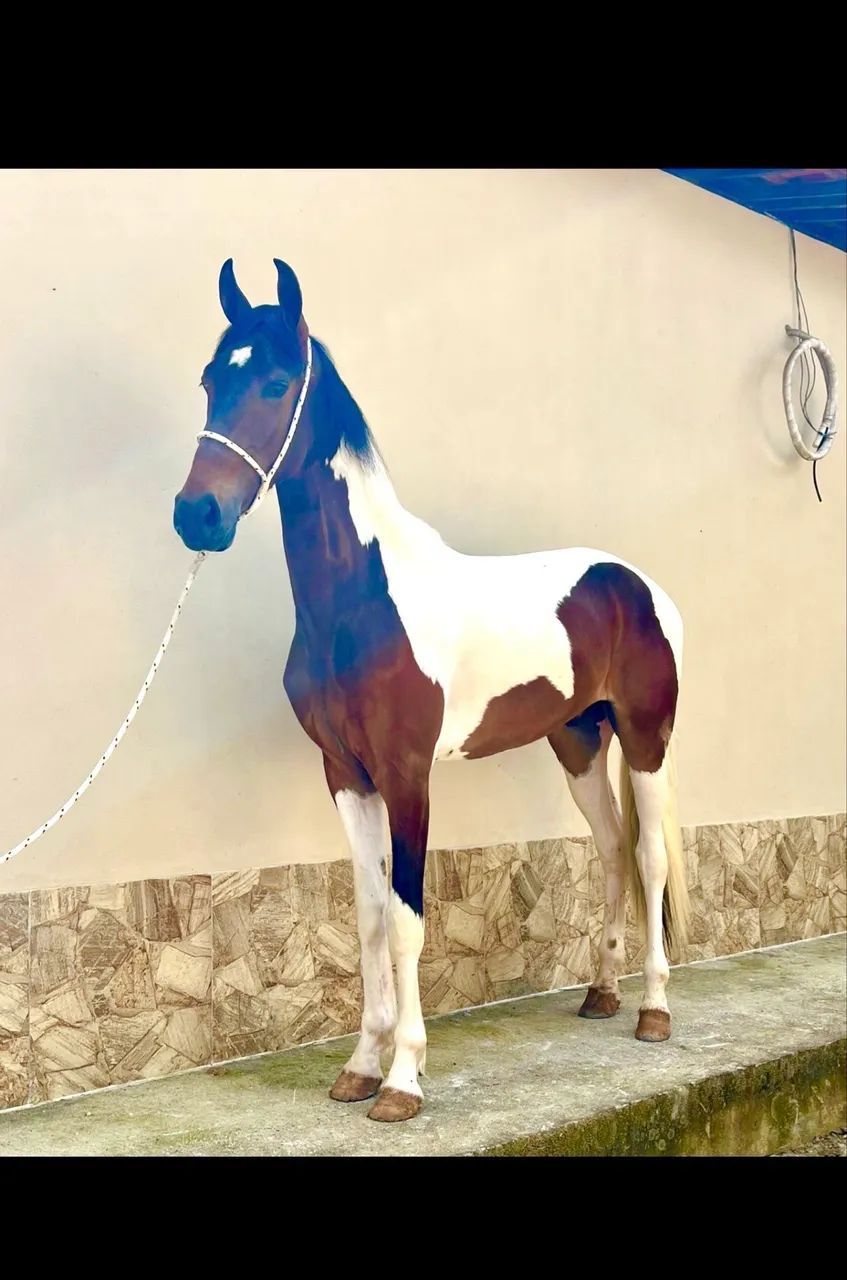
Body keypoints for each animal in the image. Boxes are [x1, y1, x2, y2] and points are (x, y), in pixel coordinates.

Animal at [173, 258, 690, 1123]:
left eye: (277, 382)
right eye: (211, 380)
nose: (196, 516)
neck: (360, 602)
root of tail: (637, 584)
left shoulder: (407, 775)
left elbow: (409, 922)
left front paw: (403, 1079)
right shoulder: (346, 775)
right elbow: (369, 918)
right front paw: (359, 1064)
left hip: (644, 738)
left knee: (648, 855)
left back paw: (653, 1009)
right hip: (578, 743)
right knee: (610, 846)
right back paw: (601, 994)